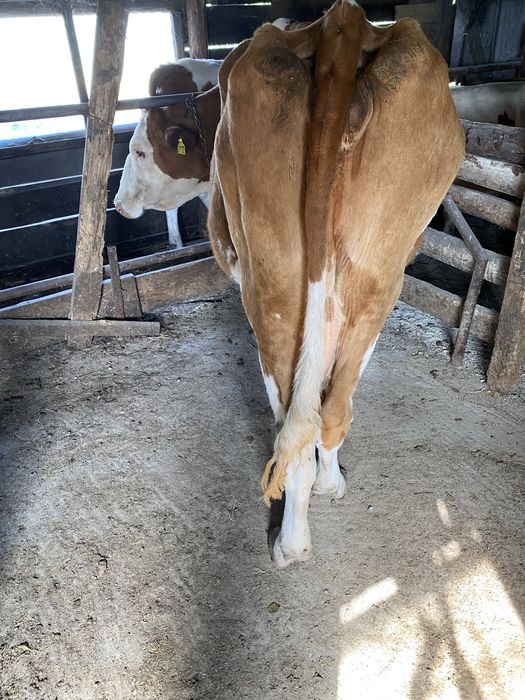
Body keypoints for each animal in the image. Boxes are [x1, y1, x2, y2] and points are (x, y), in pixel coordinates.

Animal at [207, 0, 465, 567]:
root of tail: (341, 21)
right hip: (380, 277)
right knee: (331, 409)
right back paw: (326, 491)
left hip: (270, 284)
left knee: (292, 420)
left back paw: (290, 543)